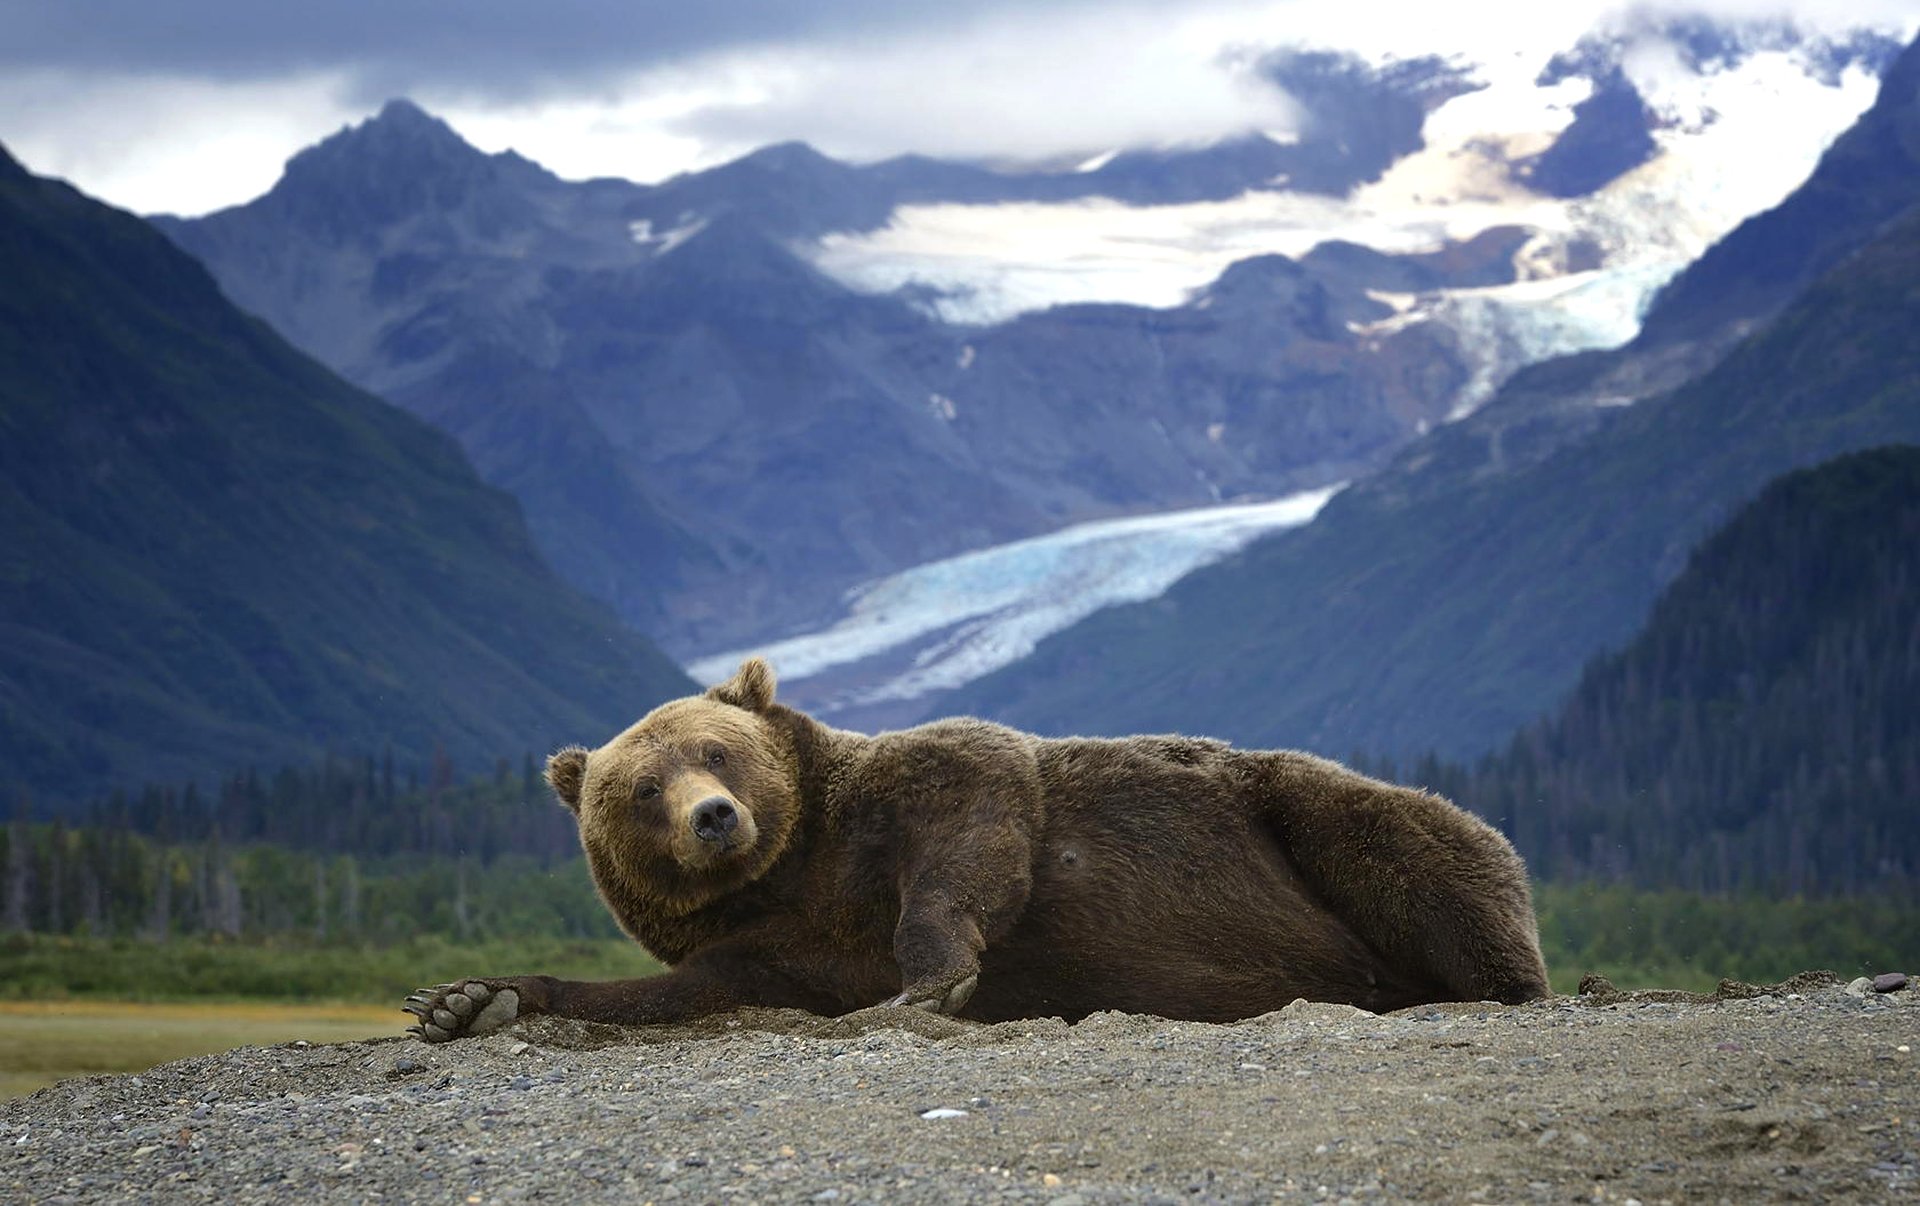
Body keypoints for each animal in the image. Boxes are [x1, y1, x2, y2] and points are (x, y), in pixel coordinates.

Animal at [404, 657, 1549, 1041]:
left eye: (715, 747)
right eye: (643, 787)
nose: (714, 817)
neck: (794, 872)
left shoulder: (916, 793)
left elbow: (975, 812)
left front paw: (933, 978)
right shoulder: (767, 948)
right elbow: (666, 994)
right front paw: (469, 1001)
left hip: (1302, 813)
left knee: (1410, 845)